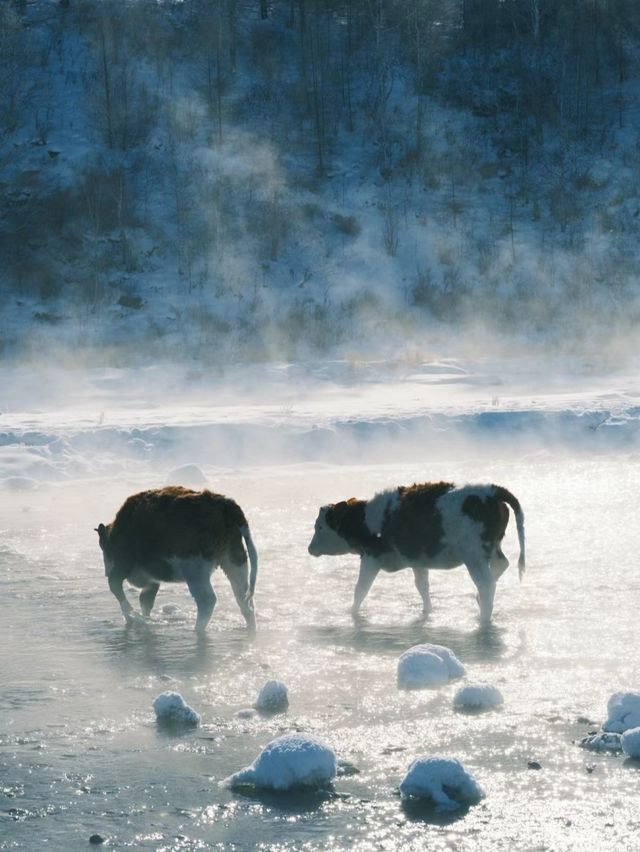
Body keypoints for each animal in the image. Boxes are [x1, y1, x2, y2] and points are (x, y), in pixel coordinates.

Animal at [96, 486, 256, 632]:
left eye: (104, 547)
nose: (106, 571)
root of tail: (225, 504)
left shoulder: (121, 565)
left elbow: (116, 587)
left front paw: (131, 617)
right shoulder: (152, 579)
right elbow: (145, 600)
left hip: (195, 570)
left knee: (207, 600)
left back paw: (197, 629)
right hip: (234, 560)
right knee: (243, 599)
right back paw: (250, 627)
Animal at [308, 480, 524, 624]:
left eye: (320, 527)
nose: (310, 548)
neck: (363, 518)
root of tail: (490, 490)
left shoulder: (371, 557)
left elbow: (361, 588)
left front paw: (352, 612)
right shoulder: (418, 561)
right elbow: (422, 587)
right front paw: (427, 611)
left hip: (474, 556)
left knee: (487, 584)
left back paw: (483, 618)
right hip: (491, 549)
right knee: (501, 566)